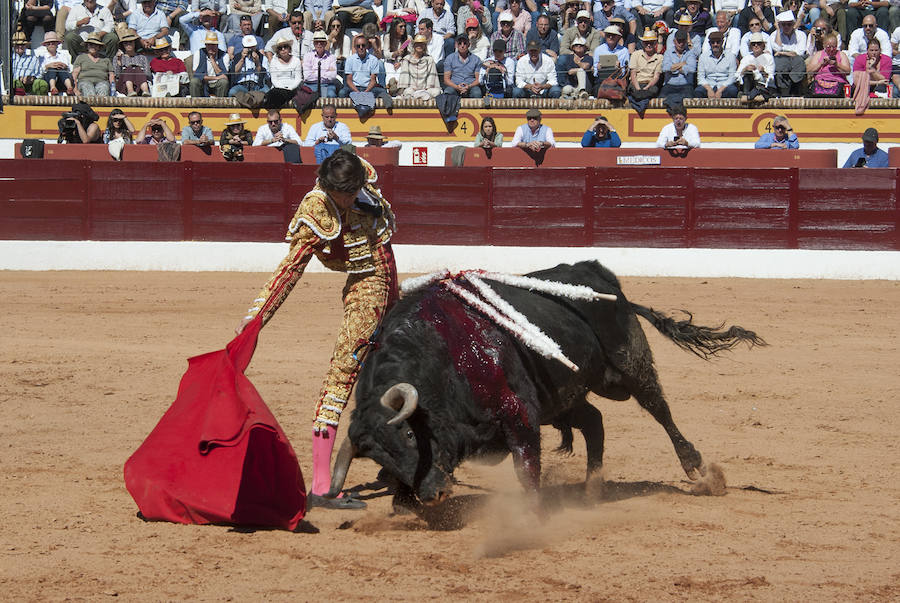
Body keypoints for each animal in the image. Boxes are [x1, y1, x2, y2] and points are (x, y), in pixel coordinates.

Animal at [326, 260, 764, 504]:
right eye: (379, 459)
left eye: (410, 436)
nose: (435, 495)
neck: (439, 356)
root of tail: (600, 275)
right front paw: (404, 502)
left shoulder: (520, 416)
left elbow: (526, 470)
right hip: (563, 398)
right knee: (594, 422)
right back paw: (591, 490)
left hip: (627, 365)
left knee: (657, 406)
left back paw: (696, 469)